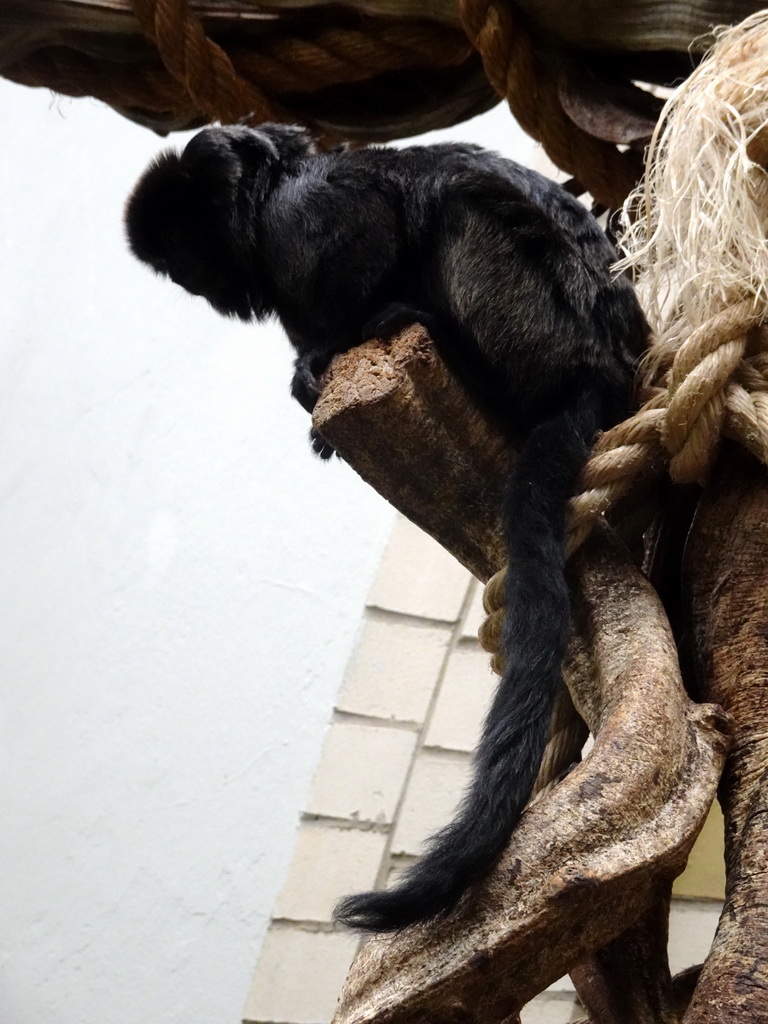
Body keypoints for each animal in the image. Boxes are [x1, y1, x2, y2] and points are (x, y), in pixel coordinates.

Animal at [124, 123, 651, 933]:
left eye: (189, 258)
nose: (198, 287)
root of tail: (598, 371)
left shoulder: (304, 220)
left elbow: (370, 234)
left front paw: (330, 349)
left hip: (537, 321)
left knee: (462, 209)